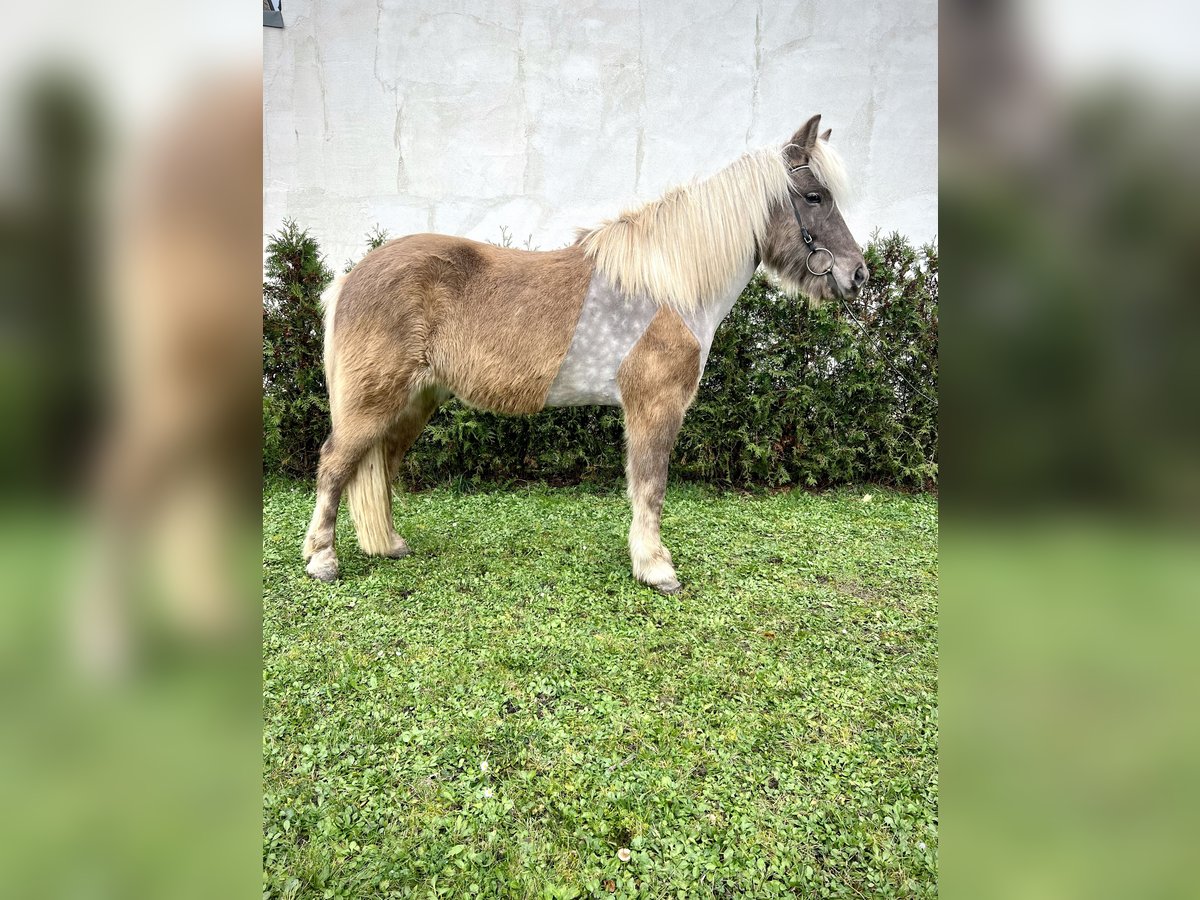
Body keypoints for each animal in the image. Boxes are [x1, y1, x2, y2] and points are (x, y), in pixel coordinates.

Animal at [298, 116, 864, 595]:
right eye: (815, 196)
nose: (857, 273)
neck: (669, 284)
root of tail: (350, 279)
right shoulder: (654, 407)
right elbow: (651, 486)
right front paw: (656, 569)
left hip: (414, 403)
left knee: (379, 467)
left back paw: (390, 545)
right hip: (374, 401)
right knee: (333, 464)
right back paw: (322, 561)